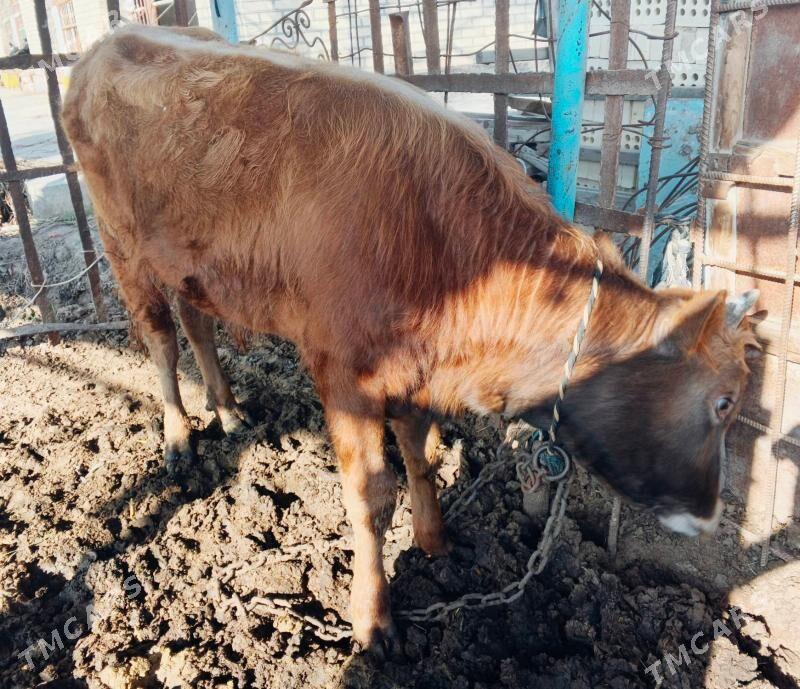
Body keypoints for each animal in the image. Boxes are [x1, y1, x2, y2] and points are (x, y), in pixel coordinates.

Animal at [62, 24, 760, 654]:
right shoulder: (343, 372)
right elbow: (373, 496)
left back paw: (229, 410)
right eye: (723, 402)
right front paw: (373, 621)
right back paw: (179, 437)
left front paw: (436, 542)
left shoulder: (416, 371)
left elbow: (422, 456)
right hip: (122, 241)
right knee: (161, 336)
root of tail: (112, 39)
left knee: (197, 322)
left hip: (190, 261)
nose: (711, 517)